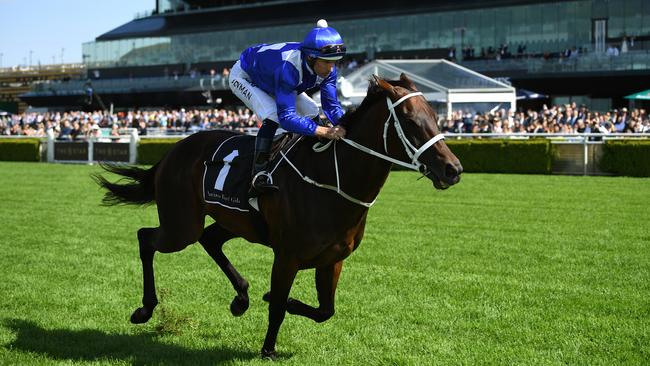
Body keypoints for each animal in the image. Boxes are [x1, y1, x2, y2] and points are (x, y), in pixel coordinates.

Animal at [95, 73, 460, 358]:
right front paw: (268, 347)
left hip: (234, 221)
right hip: (181, 224)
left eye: (436, 116)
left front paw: (272, 301)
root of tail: (173, 150)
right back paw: (145, 308)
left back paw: (241, 297)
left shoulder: (333, 259)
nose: (453, 169)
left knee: (209, 239)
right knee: (147, 237)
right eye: (410, 122)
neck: (331, 180)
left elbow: (325, 311)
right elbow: (278, 308)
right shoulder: (287, 255)